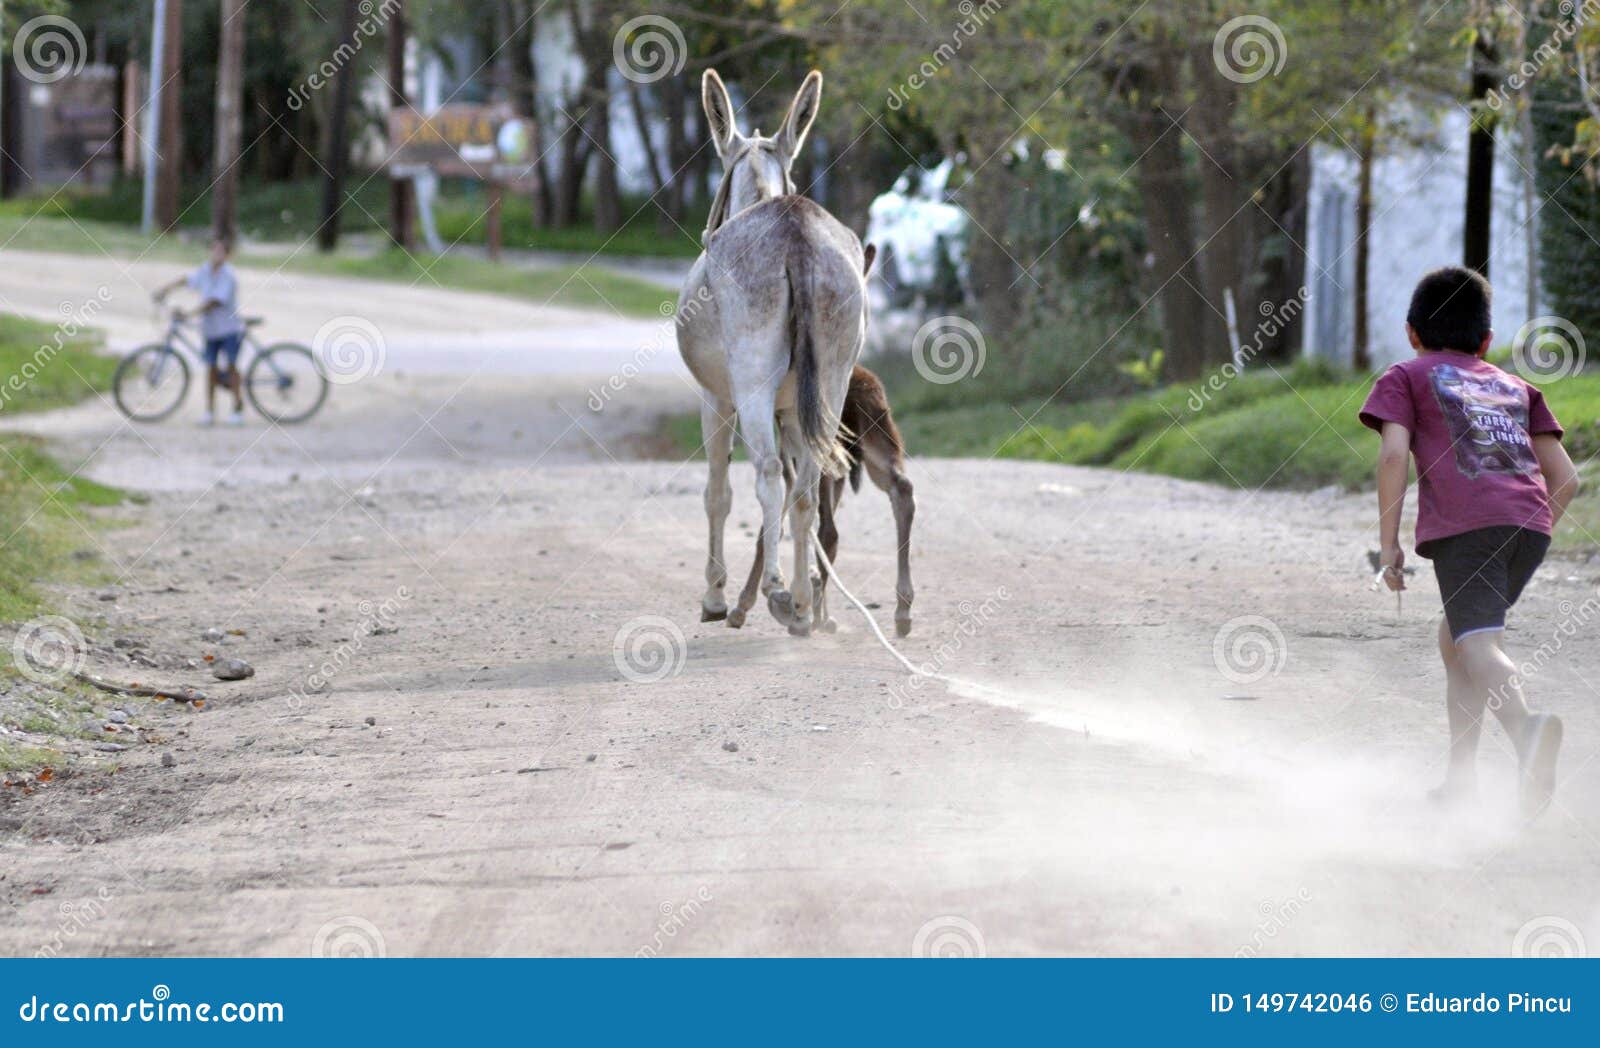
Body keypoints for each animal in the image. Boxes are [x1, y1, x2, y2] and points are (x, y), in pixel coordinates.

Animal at [732, 364, 921, 636]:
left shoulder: (791, 463)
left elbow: (771, 529)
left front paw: (742, 606)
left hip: (822, 452)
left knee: (829, 530)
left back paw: (813, 616)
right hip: (877, 435)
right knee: (902, 488)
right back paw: (902, 610)